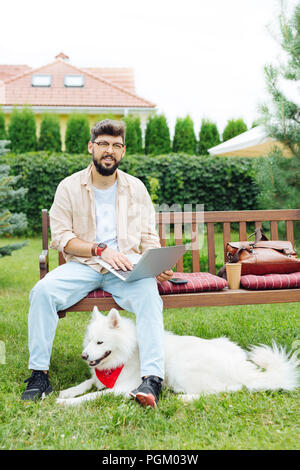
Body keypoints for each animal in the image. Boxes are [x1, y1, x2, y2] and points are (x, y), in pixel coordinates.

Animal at [56, 306, 298, 406]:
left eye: (100, 342)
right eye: (89, 340)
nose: (84, 356)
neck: (125, 354)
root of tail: (240, 368)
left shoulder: (124, 389)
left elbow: (92, 396)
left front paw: (67, 403)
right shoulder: (98, 377)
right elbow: (87, 384)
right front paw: (67, 392)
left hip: (180, 366)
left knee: (224, 390)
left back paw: (183, 397)